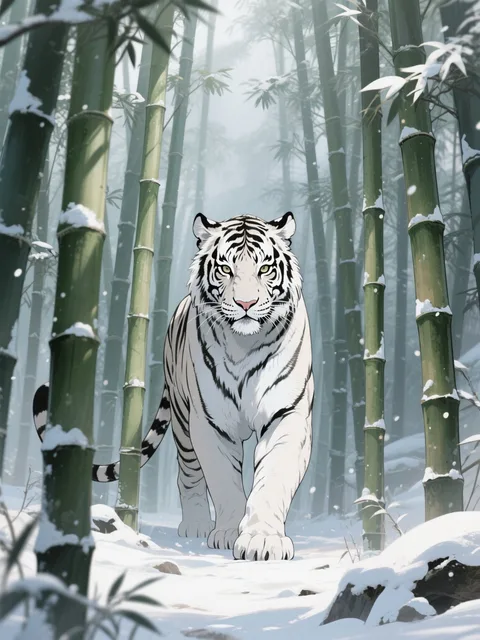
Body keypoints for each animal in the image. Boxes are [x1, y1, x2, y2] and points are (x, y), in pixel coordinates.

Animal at [33, 212, 314, 561]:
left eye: (264, 269)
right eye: (226, 269)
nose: (246, 303)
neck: (244, 343)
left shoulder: (286, 414)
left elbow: (274, 477)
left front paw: (262, 542)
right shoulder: (210, 422)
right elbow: (223, 480)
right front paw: (228, 532)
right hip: (182, 416)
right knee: (189, 473)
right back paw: (195, 525)